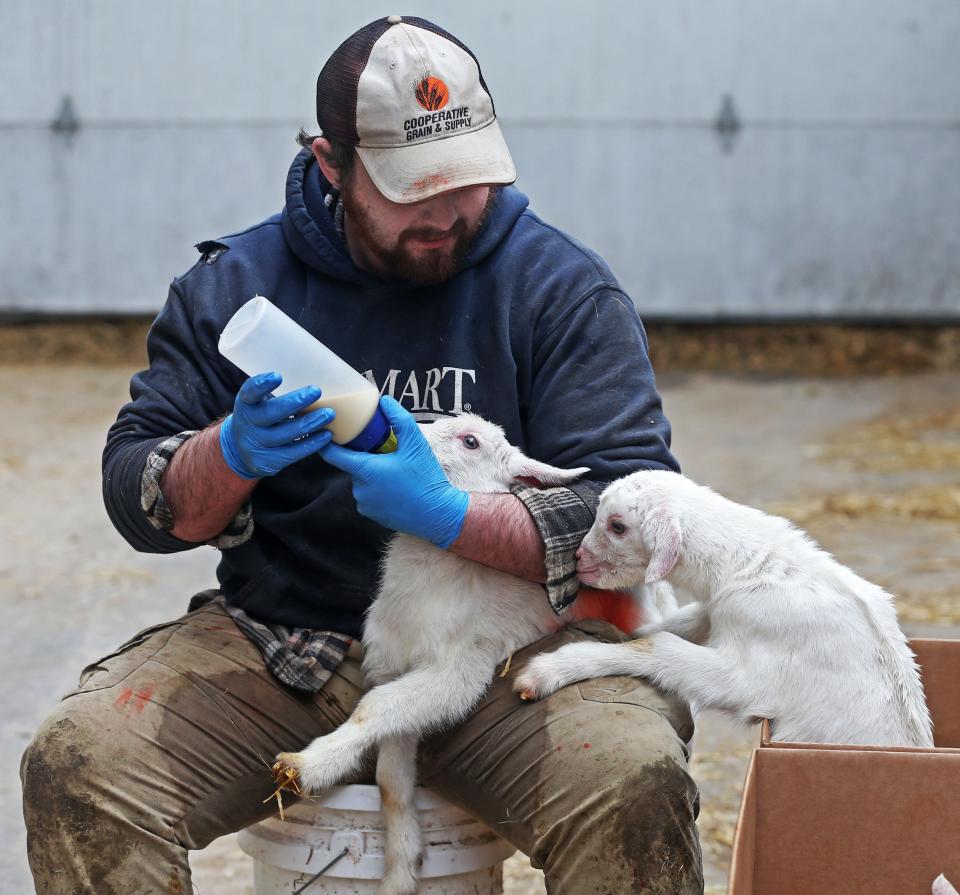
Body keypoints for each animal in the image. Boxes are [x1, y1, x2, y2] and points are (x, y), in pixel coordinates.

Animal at [272, 414, 592, 895]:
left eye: (471, 442)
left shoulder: (457, 672)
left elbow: (371, 709)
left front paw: (305, 766)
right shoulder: (395, 669)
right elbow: (390, 777)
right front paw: (402, 870)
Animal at [512, 468, 932, 748]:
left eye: (617, 526)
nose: (579, 560)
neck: (747, 563)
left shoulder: (751, 680)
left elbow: (659, 645)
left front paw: (545, 671)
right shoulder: (713, 612)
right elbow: (668, 626)